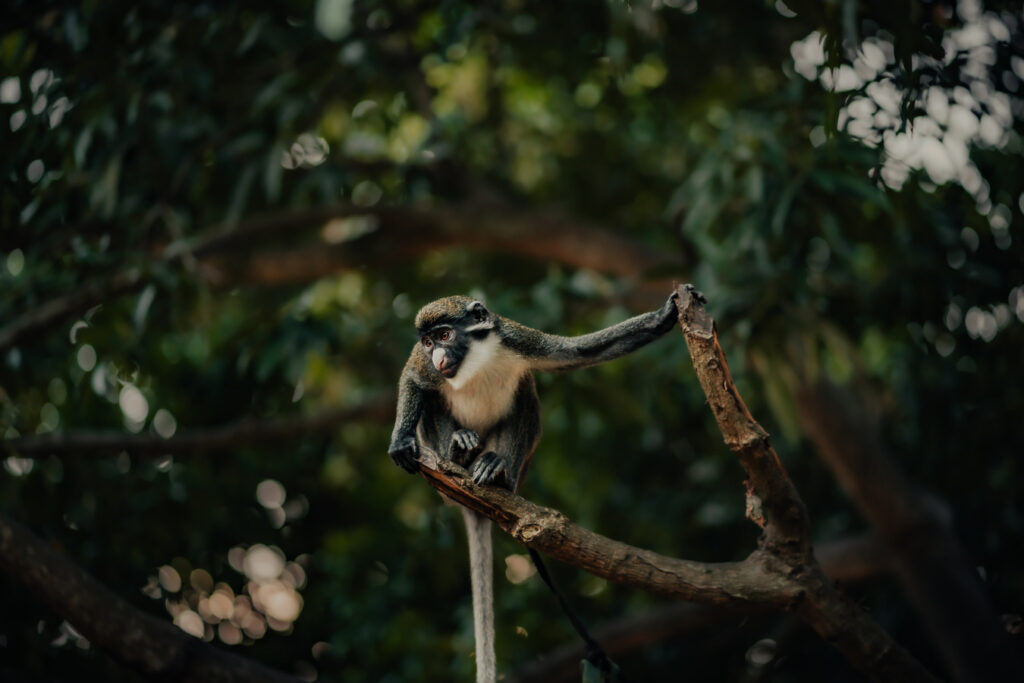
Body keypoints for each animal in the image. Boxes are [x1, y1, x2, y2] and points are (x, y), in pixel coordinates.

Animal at [388, 292, 679, 683]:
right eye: (428, 342)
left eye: (445, 335)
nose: (438, 355)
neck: (474, 360)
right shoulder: (425, 365)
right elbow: (413, 379)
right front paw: (400, 441)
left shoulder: (515, 339)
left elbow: (575, 352)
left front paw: (663, 317)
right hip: (435, 450)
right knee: (437, 404)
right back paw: (458, 452)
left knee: (525, 395)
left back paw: (497, 475)